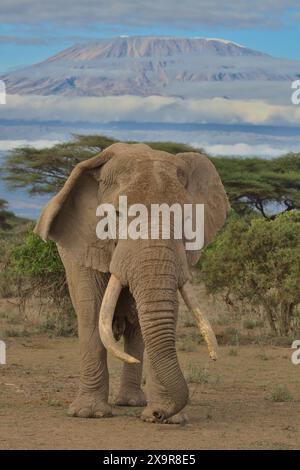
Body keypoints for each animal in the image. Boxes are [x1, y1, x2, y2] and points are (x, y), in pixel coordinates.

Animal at [34, 142, 229, 422]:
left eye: (187, 219)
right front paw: (89, 414)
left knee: (137, 328)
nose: (159, 415)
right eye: (117, 214)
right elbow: (91, 310)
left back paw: (131, 402)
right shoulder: (85, 244)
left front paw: (165, 417)